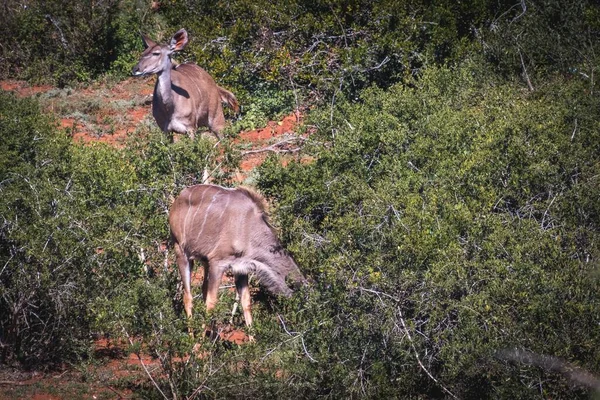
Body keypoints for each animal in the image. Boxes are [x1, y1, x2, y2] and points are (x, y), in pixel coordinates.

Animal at [170, 184, 308, 328]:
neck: (248, 227)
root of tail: (177, 200)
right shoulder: (217, 263)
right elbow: (211, 303)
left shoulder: (241, 268)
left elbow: (246, 301)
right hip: (181, 252)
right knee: (188, 296)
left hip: (204, 261)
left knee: (202, 290)